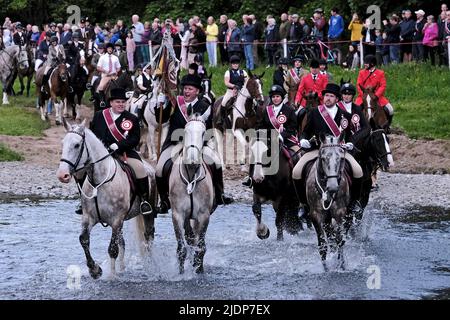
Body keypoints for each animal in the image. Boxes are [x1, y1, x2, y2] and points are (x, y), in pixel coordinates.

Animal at [56, 119, 156, 278]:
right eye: (63, 143)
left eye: (77, 145)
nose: (62, 175)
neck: (99, 182)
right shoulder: (88, 218)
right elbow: (83, 240)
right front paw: (95, 270)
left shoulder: (116, 220)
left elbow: (112, 249)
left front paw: (111, 277)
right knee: (123, 243)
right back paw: (122, 269)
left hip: (148, 215)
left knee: (148, 238)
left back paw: (149, 265)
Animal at [171, 112, 216, 272]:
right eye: (185, 131)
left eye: (203, 133)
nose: (192, 159)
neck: (190, 175)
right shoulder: (177, 214)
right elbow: (181, 249)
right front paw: (181, 273)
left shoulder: (204, 216)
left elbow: (200, 248)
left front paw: (198, 270)